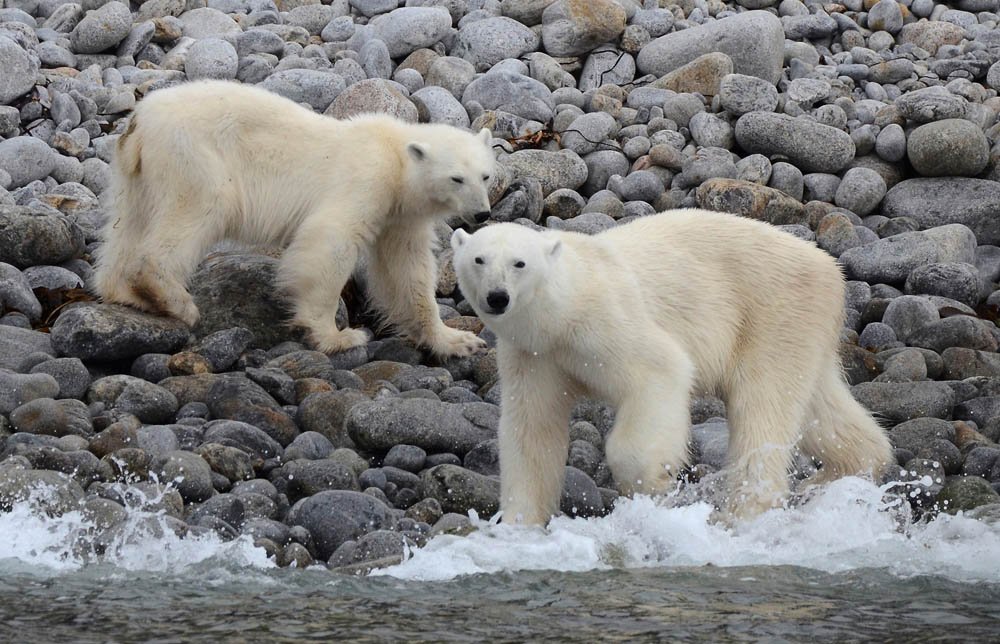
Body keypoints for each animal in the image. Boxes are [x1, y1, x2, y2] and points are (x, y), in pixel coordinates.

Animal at [95, 80, 494, 358]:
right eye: (456, 178)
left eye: (486, 176)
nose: (483, 213)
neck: (394, 154)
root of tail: (140, 119)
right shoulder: (365, 180)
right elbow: (330, 240)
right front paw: (337, 336)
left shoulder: (400, 215)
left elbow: (406, 269)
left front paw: (456, 340)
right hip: (193, 156)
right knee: (201, 208)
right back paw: (173, 298)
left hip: (136, 174)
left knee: (128, 224)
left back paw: (126, 293)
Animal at [450, 209, 896, 524]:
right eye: (479, 259)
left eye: (519, 263)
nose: (497, 297)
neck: (560, 313)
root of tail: (832, 269)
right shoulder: (534, 355)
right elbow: (531, 430)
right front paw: (517, 526)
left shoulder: (604, 320)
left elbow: (659, 372)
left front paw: (654, 480)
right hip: (803, 330)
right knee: (818, 407)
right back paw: (843, 473)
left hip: (773, 311)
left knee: (761, 406)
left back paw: (741, 514)